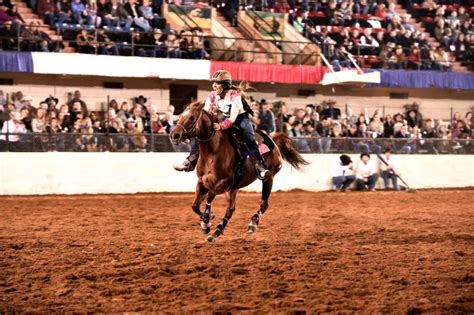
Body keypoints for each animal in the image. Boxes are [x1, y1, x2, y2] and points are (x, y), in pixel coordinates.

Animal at [168, 100, 310, 243]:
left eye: (192, 117)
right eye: (180, 115)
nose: (174, 135)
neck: (213, 152)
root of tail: (273, 141)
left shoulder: (223, 184)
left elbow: (209, 197)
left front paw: (207, 220)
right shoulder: (202, 183)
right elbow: (195, 206)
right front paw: (206, 222)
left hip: (269, 177)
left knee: (264, 204)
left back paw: (253, 223)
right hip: (234, 188)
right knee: (231, 209)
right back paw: (216, 232)